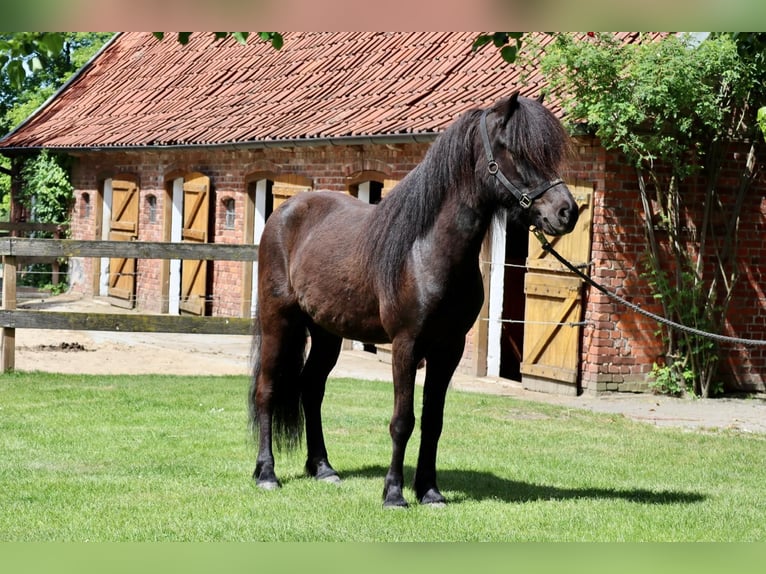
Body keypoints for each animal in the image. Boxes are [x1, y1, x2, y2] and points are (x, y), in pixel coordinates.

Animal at [249, 92, 580, 510]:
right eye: (516, 151)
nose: (568, 211)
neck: (426, 251)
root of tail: (284, 213)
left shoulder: (448, 349)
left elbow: (433, 421)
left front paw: (430, 491)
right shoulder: (406, 346)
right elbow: (403, 420)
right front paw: (394, 493)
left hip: (327, 332)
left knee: (311, 388)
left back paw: (323, 469)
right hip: (279, 321)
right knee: (267, 390)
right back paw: (267, 474)